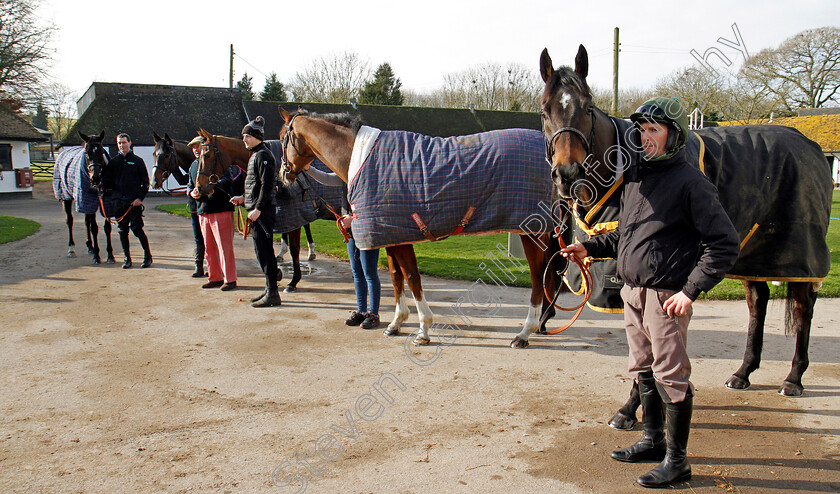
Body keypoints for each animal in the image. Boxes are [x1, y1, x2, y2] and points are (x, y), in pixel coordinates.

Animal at [53, 129, 116, 264]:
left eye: (101, 151)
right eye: (86, 153)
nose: (95, 178)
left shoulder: (106, 202)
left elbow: (107, 227)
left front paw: (110, 255)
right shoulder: (89, 200)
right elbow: (94, 228)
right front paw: (97, 257)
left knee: (86, 221)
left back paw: (90, 247)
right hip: (67, 198)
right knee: (70, 220)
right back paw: (71, 249)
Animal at [192, 130, 316, 294]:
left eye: (206, 155)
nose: (199, 188)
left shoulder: (294, 219)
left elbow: (293, 249)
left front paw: (292, 281)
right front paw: (278, 272)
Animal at [276, 108, 564, 348]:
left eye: (281, 139)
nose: (283, 176)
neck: (362, 158)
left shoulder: (401, 238)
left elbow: (412, 278)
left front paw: (423, 330)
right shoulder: (390, 235)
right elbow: (396, 278)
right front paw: (396, 323)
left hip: (531, 232)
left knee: (538, 277)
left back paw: (524, 333)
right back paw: (540, 324)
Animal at [540, 44, 832, 428]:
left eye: (587, 107)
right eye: (545, 110)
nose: (567, 174)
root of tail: (808, 144)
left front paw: (631, 408)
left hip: (798, 253)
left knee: (802, 307)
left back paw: (794, 378)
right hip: (754, 252)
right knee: (758, 301)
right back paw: (743, 372)